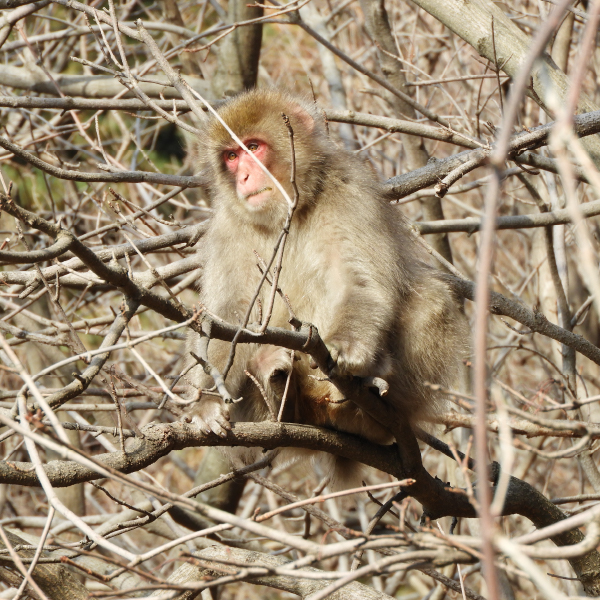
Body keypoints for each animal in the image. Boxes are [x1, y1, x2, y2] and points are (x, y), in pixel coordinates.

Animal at [188, 86, 468, 486]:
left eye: (253, 147)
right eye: (231, 156)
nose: (242, 177)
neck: (289, 211)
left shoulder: (349, 188)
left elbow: (358, 279)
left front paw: (346, 347)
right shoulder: (227, 225)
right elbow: (229, 316)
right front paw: (208, 403)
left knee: (432, 299)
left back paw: (369, 413)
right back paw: (280, 393)